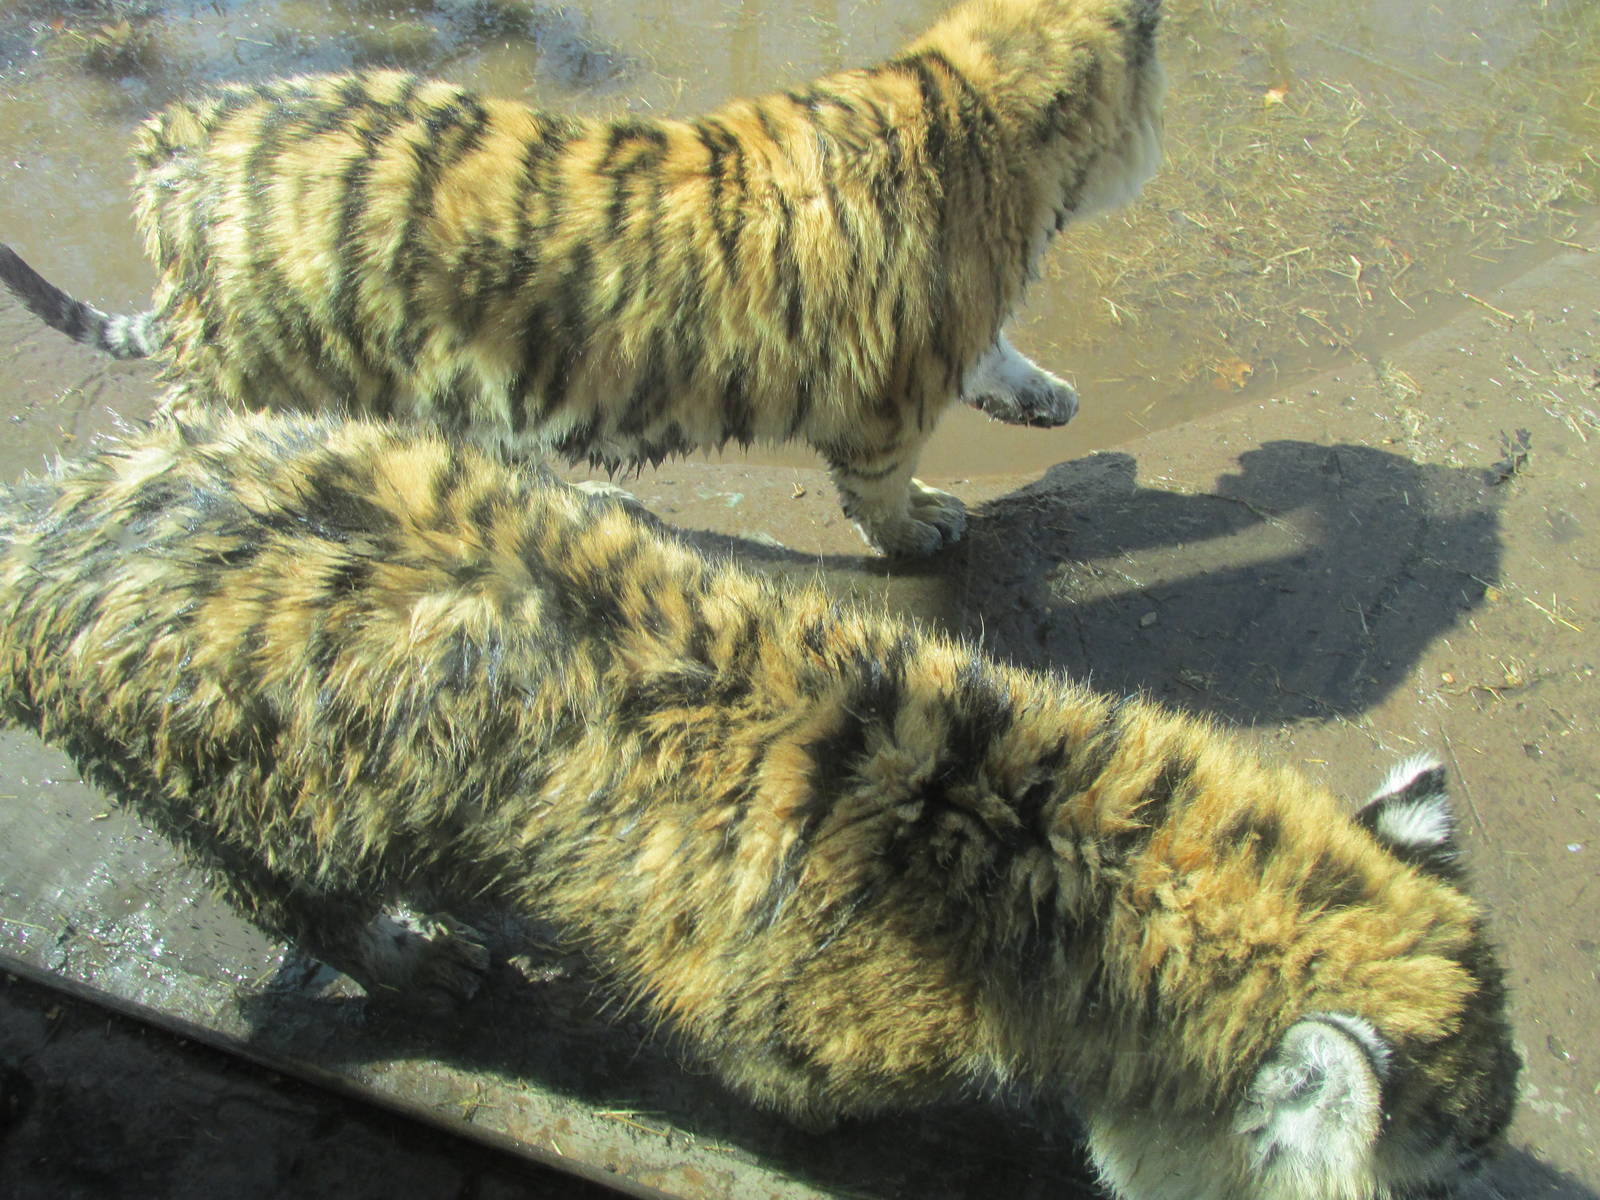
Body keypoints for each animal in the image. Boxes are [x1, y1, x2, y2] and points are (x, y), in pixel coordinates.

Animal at [0, 0, 1165, 556]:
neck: (976, 94)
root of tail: (179, 142)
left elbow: (995, 350)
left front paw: (1044, 397)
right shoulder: (887, 391)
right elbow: (880, 483)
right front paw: (921, 526)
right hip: (263, 375)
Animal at [0, 408, 1518, 1199]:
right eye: (1443, 1164)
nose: (1495, 1158)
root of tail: (60, 516)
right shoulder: (796, 1033)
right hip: (238, 805)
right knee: (303, 898)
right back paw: (417, 960)